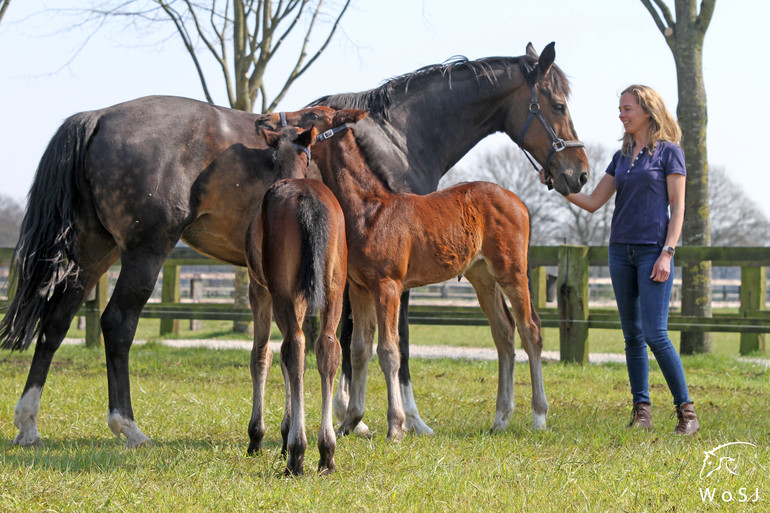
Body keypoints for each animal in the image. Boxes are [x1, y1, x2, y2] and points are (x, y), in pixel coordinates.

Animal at [244, 125, 346, 476]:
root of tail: (308, 199)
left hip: (280, 290)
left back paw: (297, 453)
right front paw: (285, 431)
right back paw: (325, 451)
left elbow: (262, 355)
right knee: (326, 346)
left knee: (293, 346)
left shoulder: (259, 290)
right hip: (333, 289)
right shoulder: (301, 297)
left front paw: (258, 436)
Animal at [268, 109, 544, 440]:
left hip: (511, 271)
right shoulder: (360, 288)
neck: (369, 211)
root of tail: (518, 202)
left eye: (313, 115)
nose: (275, 123)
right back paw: (500, 419)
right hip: (482, 276)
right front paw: (350, 422)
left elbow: (388, 351)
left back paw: (539, 417)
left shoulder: (387, 285)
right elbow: (359, 349)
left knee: (530, 329)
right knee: (504, 332)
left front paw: (395, 427)